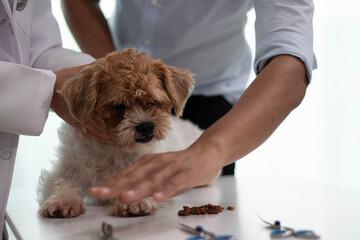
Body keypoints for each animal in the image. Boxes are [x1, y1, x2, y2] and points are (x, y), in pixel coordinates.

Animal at [38, 48, 205, 218]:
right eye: (119, 105)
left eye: (153, 101)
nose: (146, 126)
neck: (114, 149)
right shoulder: (67, 170)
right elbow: (63, 183)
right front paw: (63, 201)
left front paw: (135, 201)